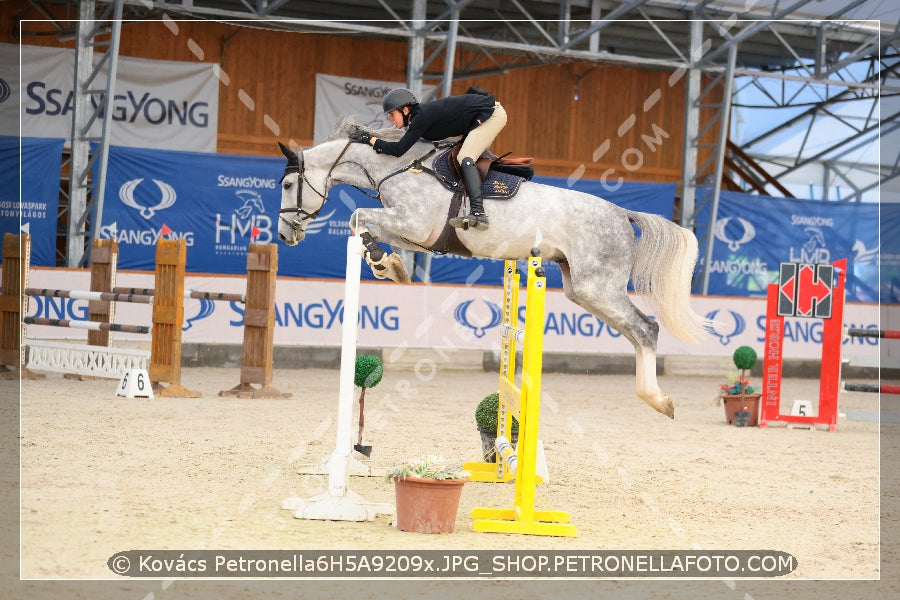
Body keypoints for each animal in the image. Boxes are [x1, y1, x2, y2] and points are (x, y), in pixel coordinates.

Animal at [282, 117, 712, 418]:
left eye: (286, 186)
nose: (286, 234)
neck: (400, 167)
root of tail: (623, 213)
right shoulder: (417, 234)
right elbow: (370, 228)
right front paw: (388, 266)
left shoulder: (413, 223)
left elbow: (358, 216)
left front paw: (381, 262)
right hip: (583, 290)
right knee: (636, 332)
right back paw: (654, 396)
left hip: (598, 287)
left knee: (646, 328)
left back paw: (657, 400)